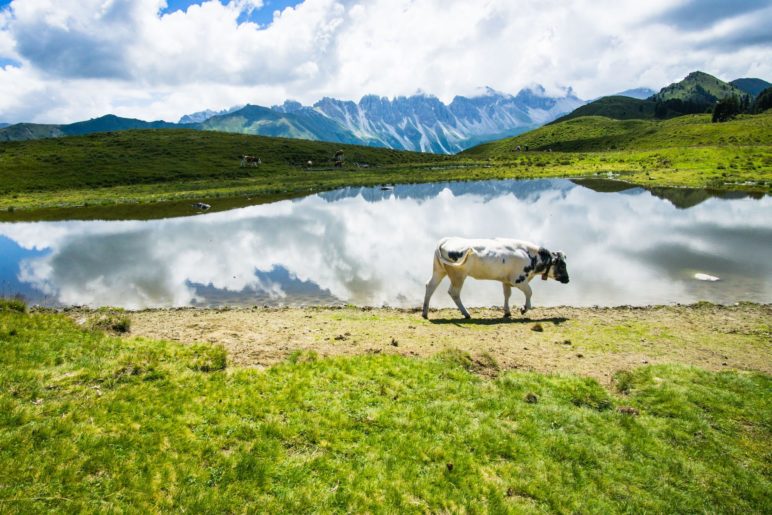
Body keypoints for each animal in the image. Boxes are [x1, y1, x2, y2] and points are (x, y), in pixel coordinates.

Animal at [422, 238, 568, 318]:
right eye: (562, 265)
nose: (567, 279)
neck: (530, 255)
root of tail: (446, 240)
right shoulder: (518, 279)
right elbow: (529, 292)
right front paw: (524, 308)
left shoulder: (506, 280)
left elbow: (507, 294)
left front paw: (507, 312)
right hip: (458, 275)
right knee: (454, 292)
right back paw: (466, 314)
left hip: (439, 270)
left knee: (430, 286)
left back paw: (425, 313)